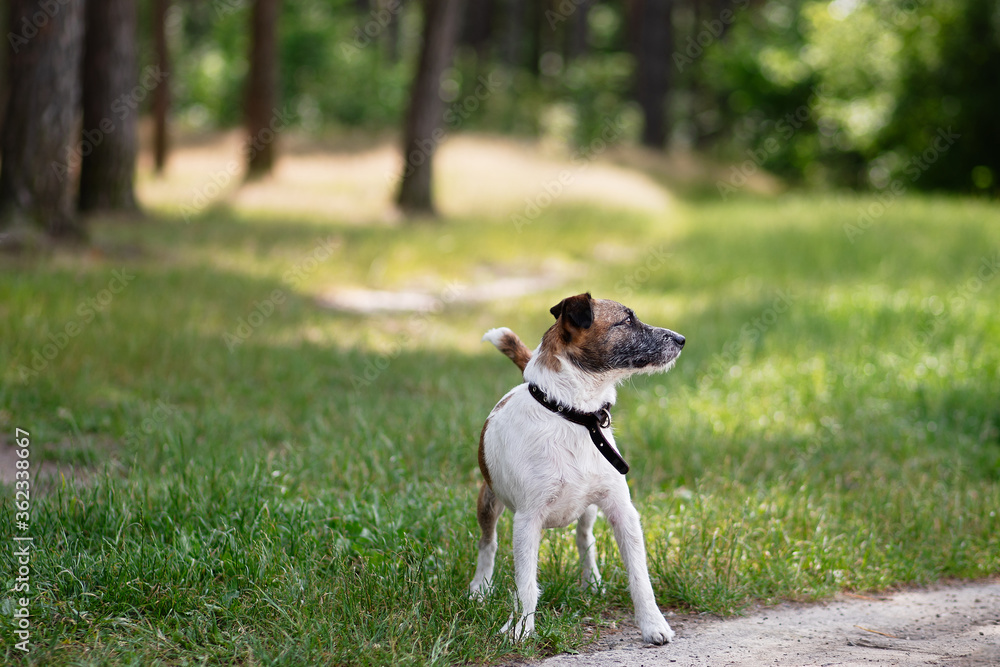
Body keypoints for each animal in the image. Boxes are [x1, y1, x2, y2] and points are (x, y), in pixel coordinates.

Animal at [468, 294, 680, 648]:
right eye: (627, 320)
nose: (681, 339)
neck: (572, 414)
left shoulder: (623, 511)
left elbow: (640, 577)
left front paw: (653, 624)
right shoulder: (527, 520)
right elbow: (526, 584)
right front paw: (520, 628)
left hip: (590, 507)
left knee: (584, 537)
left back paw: (590, 581)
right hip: (488, 499)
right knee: (488, 543)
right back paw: (479, 589)